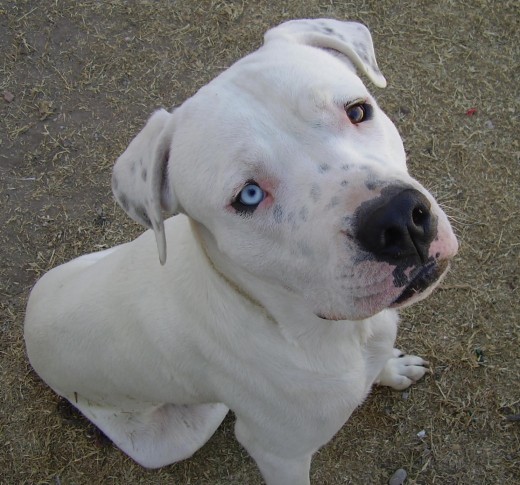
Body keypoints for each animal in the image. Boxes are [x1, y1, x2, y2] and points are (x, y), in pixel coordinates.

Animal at [24, 19, 458, 484]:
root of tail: (28, 323)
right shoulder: (279, 454)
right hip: (182, 432)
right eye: (248, 196)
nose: (400, 221)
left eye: (358, 111)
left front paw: (393, 368)